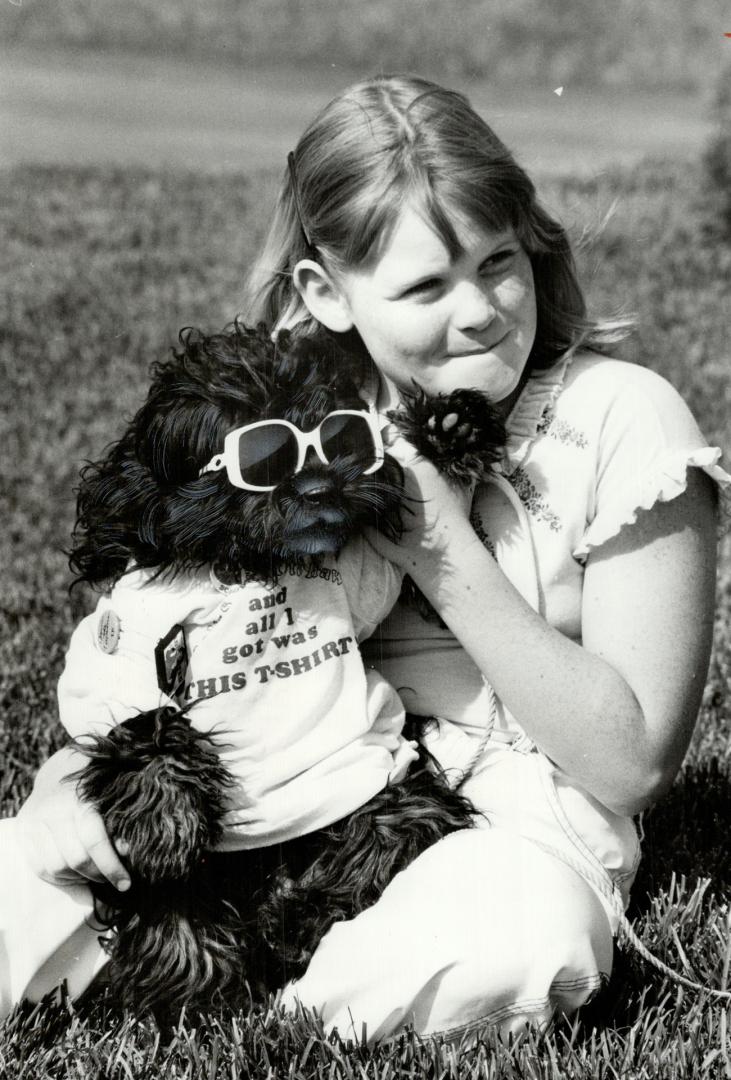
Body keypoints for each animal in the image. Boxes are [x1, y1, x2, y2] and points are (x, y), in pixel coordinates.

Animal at [66, 319, 501, 1019]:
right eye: (261, 456)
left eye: (338, 435)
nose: (323, 489)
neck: (251, 563)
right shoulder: (120, 645)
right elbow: (142, 728)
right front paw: (165, 820)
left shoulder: (371, 586)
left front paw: (450, 429)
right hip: (180, 894)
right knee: (179, 928)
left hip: (394, 794)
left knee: (377, 846)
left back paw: (288, 920)